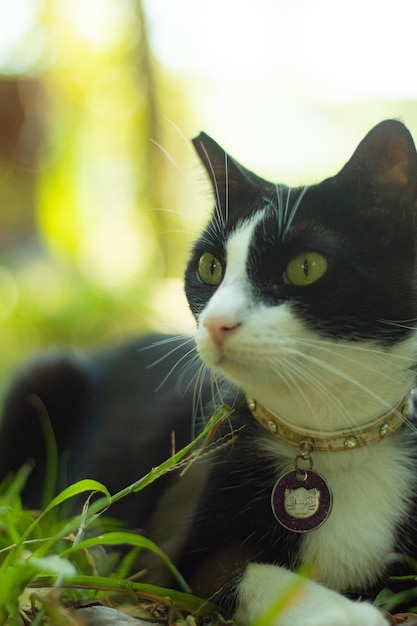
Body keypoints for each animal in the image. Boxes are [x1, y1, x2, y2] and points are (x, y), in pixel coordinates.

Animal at [0, 118, 416, 624]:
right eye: (210, 266)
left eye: (306, 266)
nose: (217, 322)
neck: (330, 439)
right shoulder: (167, 548)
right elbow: (244, 571)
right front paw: (338, 612)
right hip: (44, 379)